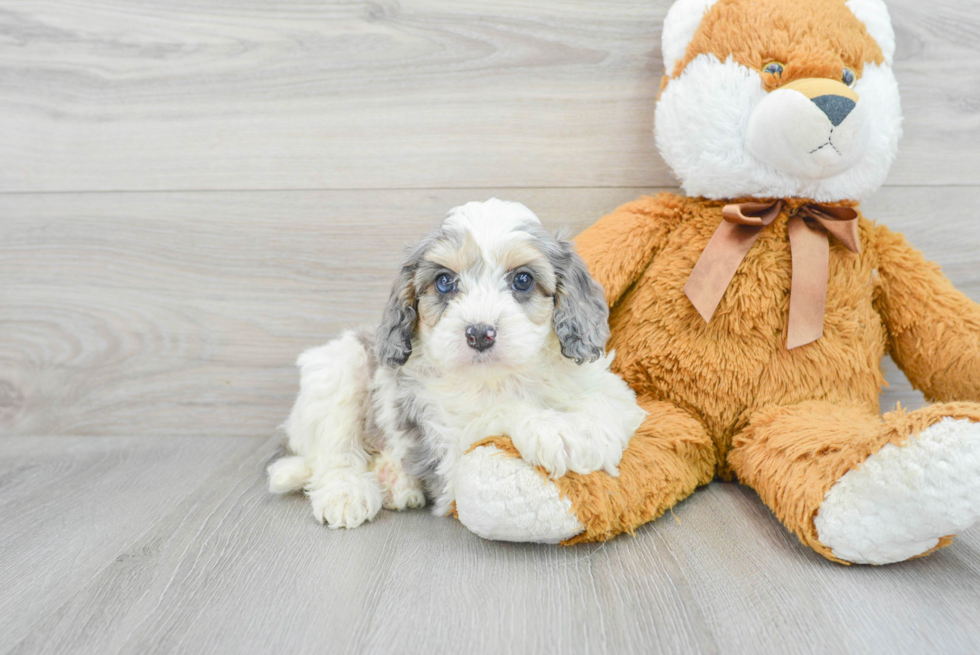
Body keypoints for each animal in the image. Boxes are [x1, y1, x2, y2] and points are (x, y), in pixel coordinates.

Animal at [272, 200, 648, 528]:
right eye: (444, 282)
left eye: (522, 280)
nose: (480, 333)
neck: (498, 377)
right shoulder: (448, 448)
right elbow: (497, 410)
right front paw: (552, 429)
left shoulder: (606, 388)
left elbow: (608, 404)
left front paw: (591, 434)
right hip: (340, 366)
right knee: (334, 454)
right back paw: (347, 492)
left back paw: (396, 481)